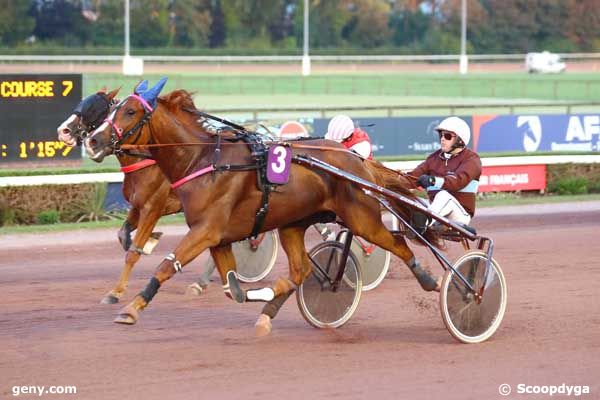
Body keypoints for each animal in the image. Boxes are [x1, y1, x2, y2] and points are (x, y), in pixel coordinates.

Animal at [85, 79, 440, 336]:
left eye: (130, 112)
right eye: (112, 110)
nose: (93, 141)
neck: (203, 160)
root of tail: (356, 161)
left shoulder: (204, 230)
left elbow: (164, 265)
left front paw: (130, 308)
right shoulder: (219, 238)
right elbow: (232, 289)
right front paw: (259, 296)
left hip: (361, 217)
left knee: (398, 243)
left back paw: (430, 280)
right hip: (293, 224)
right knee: (301, 270)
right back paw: (270, 312)